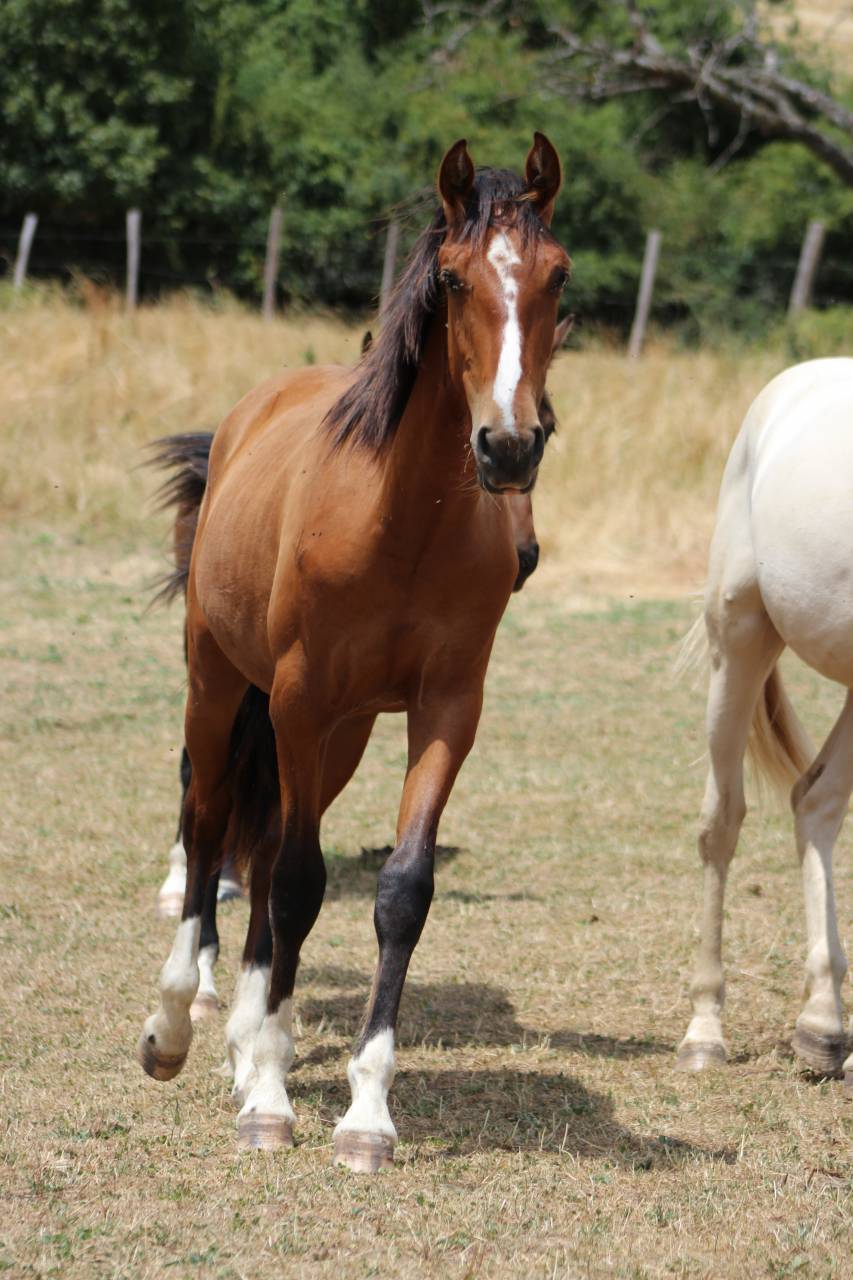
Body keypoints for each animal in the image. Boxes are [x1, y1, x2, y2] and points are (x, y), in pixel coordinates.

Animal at [137, 134, 571, 1170]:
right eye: (451, 278)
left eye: (559, 276)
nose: (506, 447)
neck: (399, 526)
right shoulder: (298, 701)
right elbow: (296, 883)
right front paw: (267, 1099)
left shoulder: (444, 711)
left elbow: (398, 891)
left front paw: (363, 1112)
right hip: (223, 684)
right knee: (209, 823)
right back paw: (176, 1024)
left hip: (337, 738)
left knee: (257, 852)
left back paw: (248, 1033)